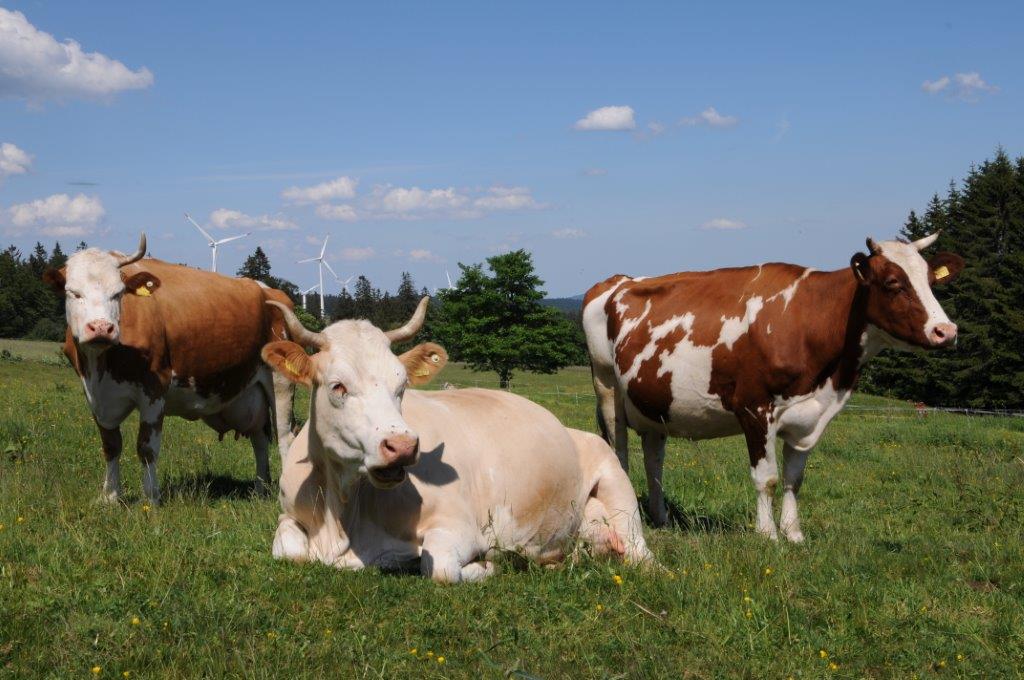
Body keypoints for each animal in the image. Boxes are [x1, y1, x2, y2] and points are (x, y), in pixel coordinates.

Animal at [46, 236, 299, 501]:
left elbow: (146, 448)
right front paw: (111, 496)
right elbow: (111, 445)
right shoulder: (95, 396)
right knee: (260, 439)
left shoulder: (154, 388)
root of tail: (269, 290)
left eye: (118, 293)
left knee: (285, 437)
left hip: (280, 381)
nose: (101, 328)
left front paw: (151, 498)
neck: (102, 364)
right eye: (73, 293)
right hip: (251, 393)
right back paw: (259, 490)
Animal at [262, 299, 647, 585]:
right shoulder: (287, 513)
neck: (341, 516)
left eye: (402, 385)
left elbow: (443, 570)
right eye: (338, 386)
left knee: (642, 557)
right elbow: (288, 551)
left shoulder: (459, 525)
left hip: (618, 487)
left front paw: (487, 565)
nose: (402, 446)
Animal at [589, 233, 962, 540]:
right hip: (607, 387)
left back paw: (661, 517)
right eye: (892, 282)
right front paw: (767, 535)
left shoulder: (810, 415)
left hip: (654, 404)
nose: (946, 331)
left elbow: (794, 479)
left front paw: (794, 534)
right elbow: (766, 478)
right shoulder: (754, 407)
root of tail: (617, 281)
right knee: (619, 453)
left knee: (654, 460)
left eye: (931, 281)